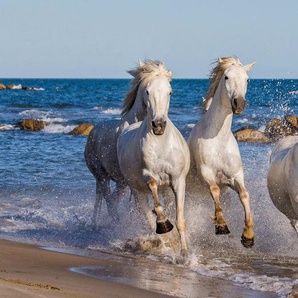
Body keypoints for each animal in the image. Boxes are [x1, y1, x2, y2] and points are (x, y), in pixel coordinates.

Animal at [85, 60, 169, 226]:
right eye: (147, 91)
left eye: (170, 92)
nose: (159, 125)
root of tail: (93, 132)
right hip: (102, 177)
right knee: (109, 201)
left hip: (120, 183)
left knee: (112, 200)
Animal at [117, 67, 190, 258]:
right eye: (147, 92)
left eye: (170, 91)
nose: (158, 125)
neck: (161, 144)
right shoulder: (148, 177)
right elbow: (156, 203)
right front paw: (163, 224)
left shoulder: (178, 181)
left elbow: (180, 219)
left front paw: (185, 255)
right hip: (137, 192)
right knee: (148, 218)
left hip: (166, 191)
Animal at [187, 57, 255, 248]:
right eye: (226, 77)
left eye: (247, 79)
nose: (239, 103)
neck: (219, 139)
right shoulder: (207, 173)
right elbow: (215, 189)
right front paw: (221, 225)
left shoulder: (235, 177)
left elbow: (245, 195)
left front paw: (248, 235)